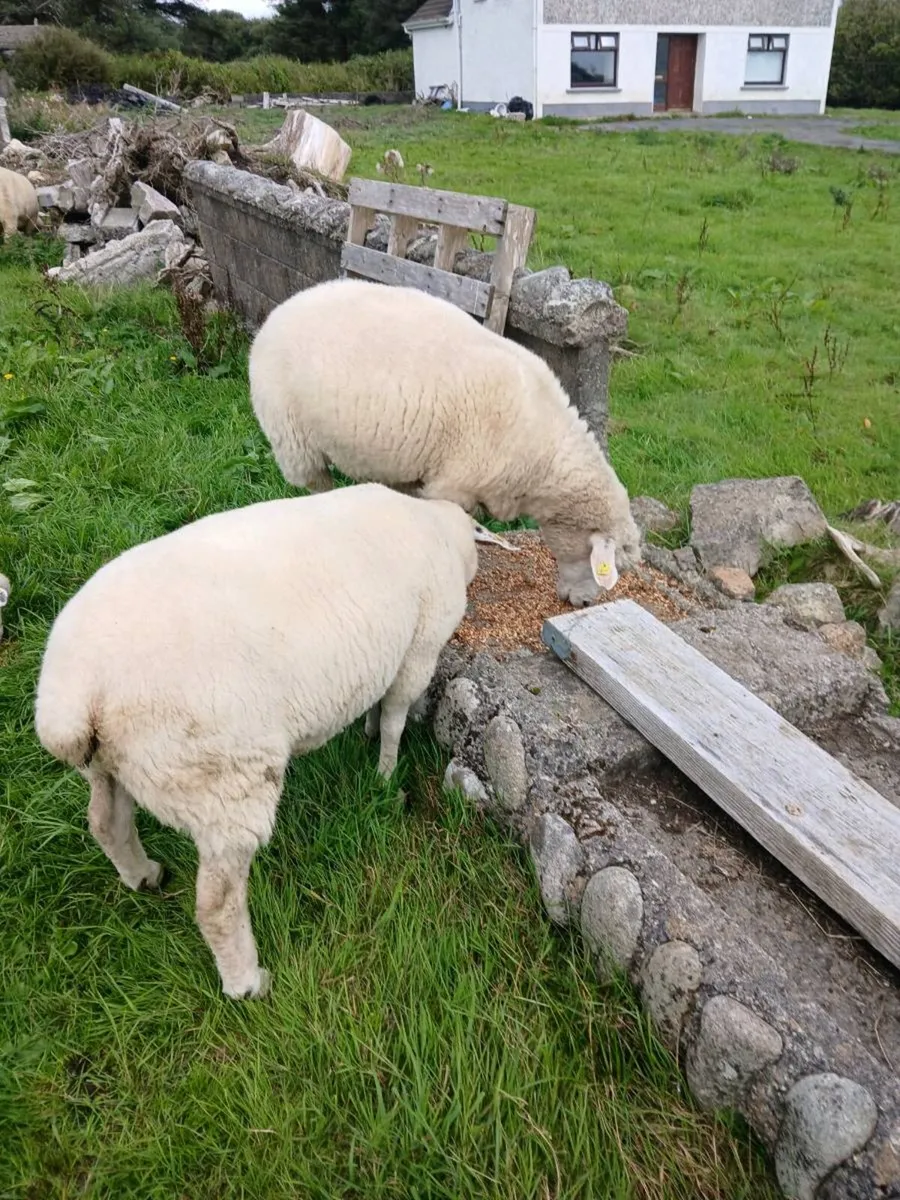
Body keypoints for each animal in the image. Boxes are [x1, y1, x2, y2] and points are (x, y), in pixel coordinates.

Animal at [35, 483, 478, 1000]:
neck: (436, 526)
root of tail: (74, 699)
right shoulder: (419, 649)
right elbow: (395, 718)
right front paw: (386, 776)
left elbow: (379, 706)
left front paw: (369, 737)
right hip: (224, 779)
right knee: (217, 903)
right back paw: (247, 983)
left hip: (115, 763)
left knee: (106, 822)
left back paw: (143, 876)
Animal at [248, 278, 642, 607]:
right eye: (604, 567)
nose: (584, 603)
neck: (544, 453)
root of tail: (280, 310)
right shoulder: (454, 484)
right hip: (294, 441)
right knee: (317, 485)